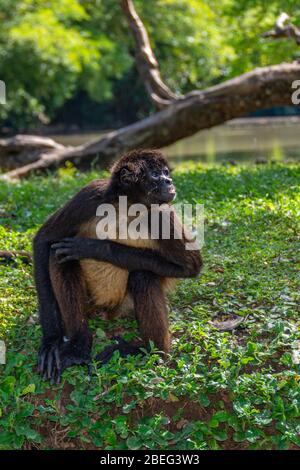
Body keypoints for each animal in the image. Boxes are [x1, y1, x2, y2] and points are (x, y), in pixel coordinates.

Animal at [33, 150, 204, 382]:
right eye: (156, 174)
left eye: (166, 172)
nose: (169, 182)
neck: (129, 206)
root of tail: (105, 312)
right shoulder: (91, 195)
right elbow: (44, 240)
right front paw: (52, 340)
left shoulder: (161, 211)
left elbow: (191, 266)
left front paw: (95, 248)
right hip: (90, 303)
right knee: (59, 257)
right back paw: (78, 345)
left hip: (125, 305)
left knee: (142, 275)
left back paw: (148, 350)